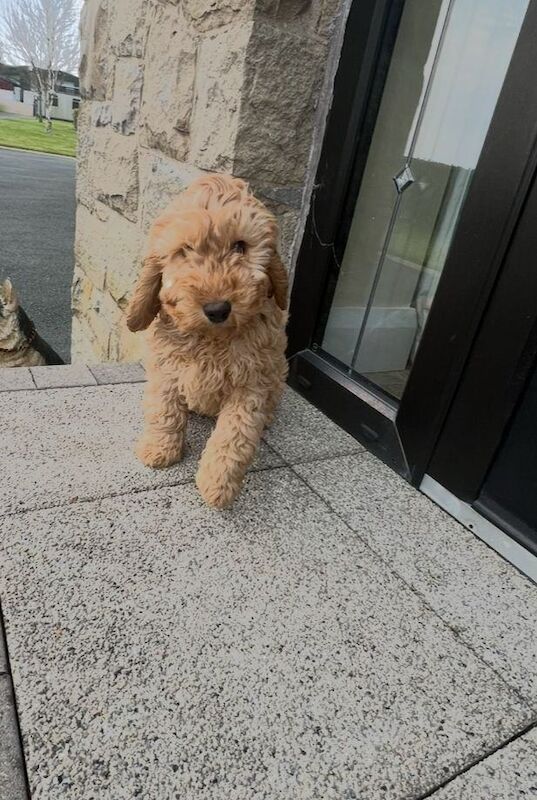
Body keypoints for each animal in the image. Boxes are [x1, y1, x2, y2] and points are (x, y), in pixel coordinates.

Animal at [125, 175, 286, 510]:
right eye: (184, 251)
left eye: (240, 246)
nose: (217, 309)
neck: (211, 338)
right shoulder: (166, 368)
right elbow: (164, 409)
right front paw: (159, 449)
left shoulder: (252, 382)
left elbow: (235, 433)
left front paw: (218, 484)